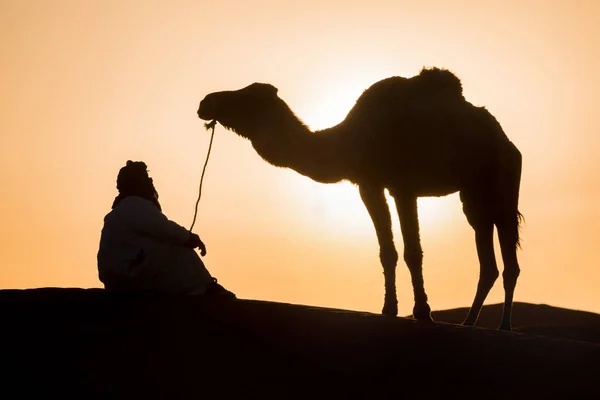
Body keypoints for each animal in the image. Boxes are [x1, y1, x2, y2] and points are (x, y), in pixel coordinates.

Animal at [196, 68, 520, 332]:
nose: (205, 103)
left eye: (247, 98)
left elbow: (413, 252)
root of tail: (506, 140)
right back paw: (469, 322)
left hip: (503, 181)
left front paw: (423, 312)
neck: (350, 140)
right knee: (487, 257)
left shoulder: (403, 186)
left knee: (509, 258)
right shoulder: (368, 183)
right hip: (473, 195)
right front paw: (389, 309)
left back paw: (504, 326)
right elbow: (386, 251)